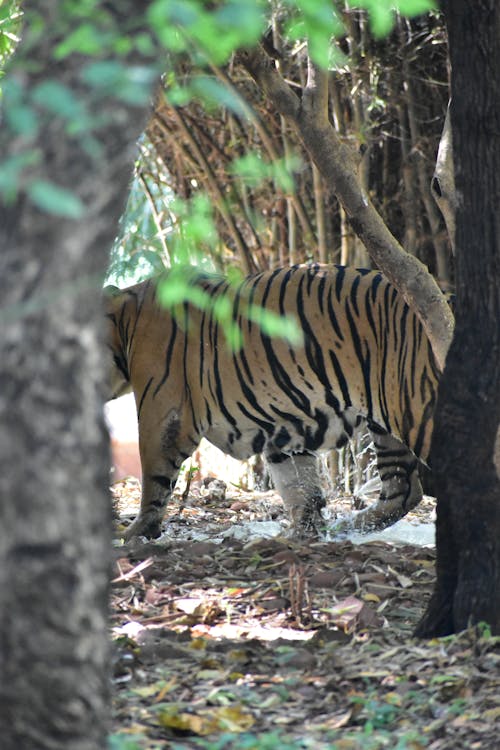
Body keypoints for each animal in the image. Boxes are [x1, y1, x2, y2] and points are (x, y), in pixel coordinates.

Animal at [104, 264, 438, 540]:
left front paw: (136, 532)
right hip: (387, 423)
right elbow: (300, 486)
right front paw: (302, 533)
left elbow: (154, 477)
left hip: (416, 408)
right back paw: (347, 526)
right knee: (403, 491)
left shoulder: (163, 413)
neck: (124, 321)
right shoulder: (285, 425)